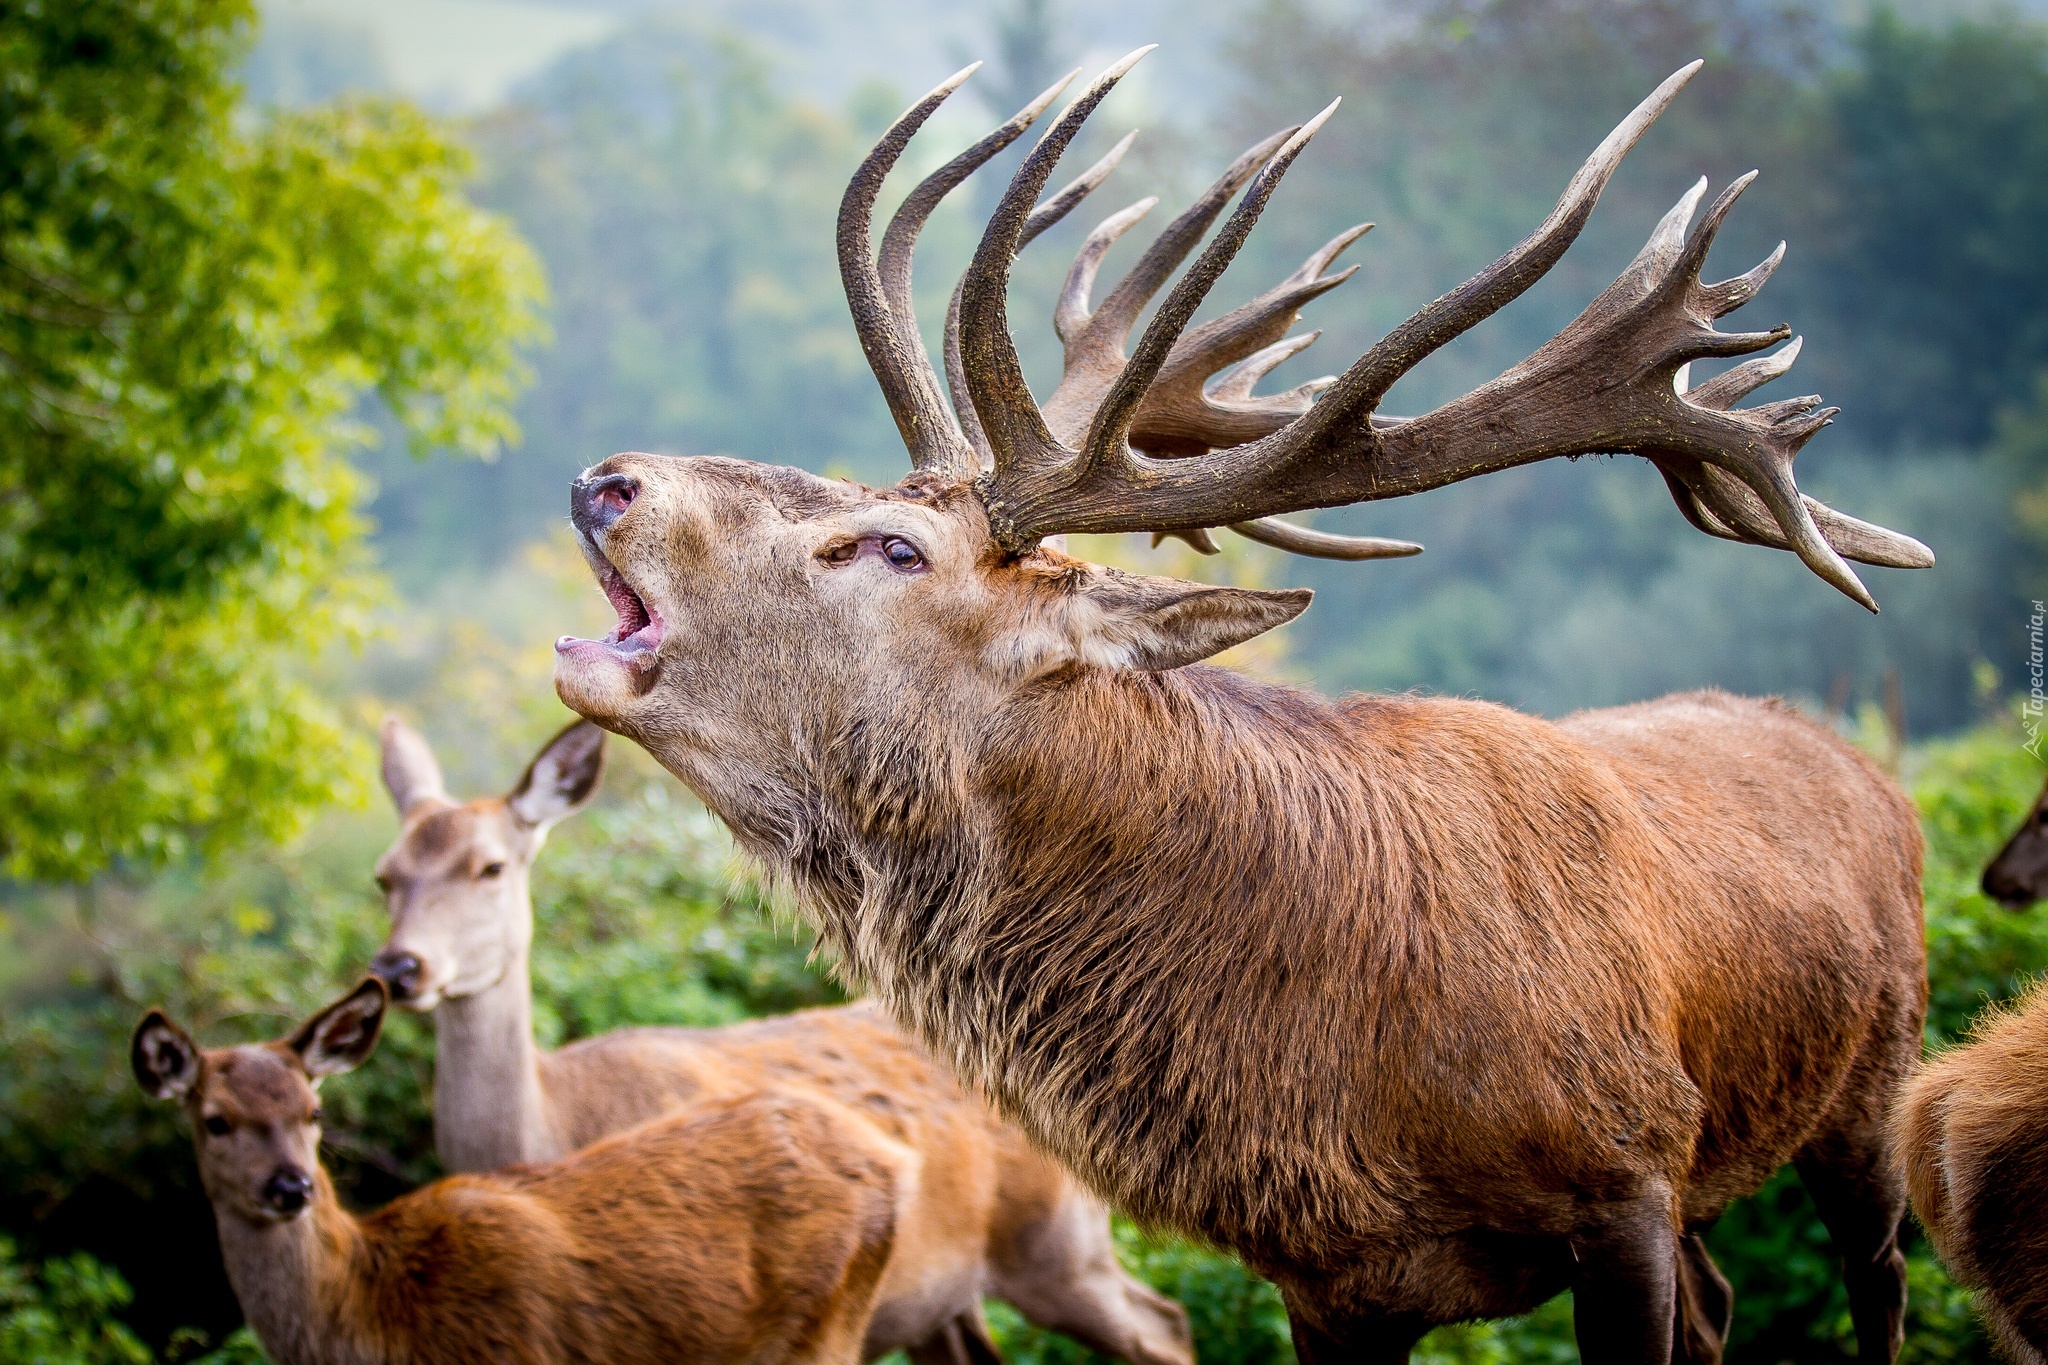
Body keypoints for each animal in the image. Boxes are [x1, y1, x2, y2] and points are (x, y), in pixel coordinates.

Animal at [366, 712, 1187, 1365]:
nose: (400, 966)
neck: (551, 1128)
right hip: (948, 1296)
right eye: (386, 875)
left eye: (491, 866)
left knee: (1169, 1324)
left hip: (1060, 1242)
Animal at [552, 50, 1925, 1365]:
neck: (1347, 1092)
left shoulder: (1625, 1176)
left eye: (892, 547)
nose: (607, 478)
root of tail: (1857, 761)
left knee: (1879, 1274)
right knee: (1723, 1302)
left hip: (1872, 1081)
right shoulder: (1329, 1284)